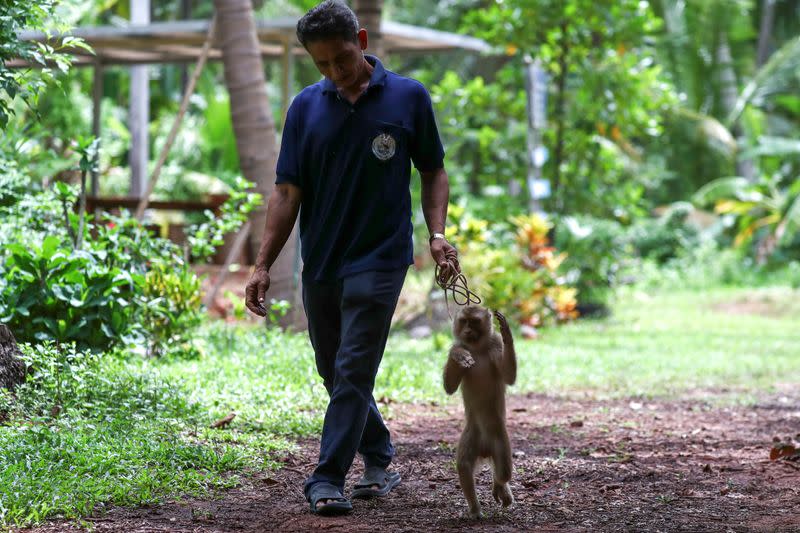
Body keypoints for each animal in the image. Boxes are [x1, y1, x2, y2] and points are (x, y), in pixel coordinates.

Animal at [444, 306, 520, 516]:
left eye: (475, 321)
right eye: (464, 321)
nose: (468, 331)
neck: (477, 348)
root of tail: (485, 450)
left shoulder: (495, 346)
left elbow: (509, 376)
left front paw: (507, 333)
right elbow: (449, 387)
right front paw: (458, 353)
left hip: (499, 438)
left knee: (503, 470)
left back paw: (500, 486)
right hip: (472, 434)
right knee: (464, 466)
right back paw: (475, 509)